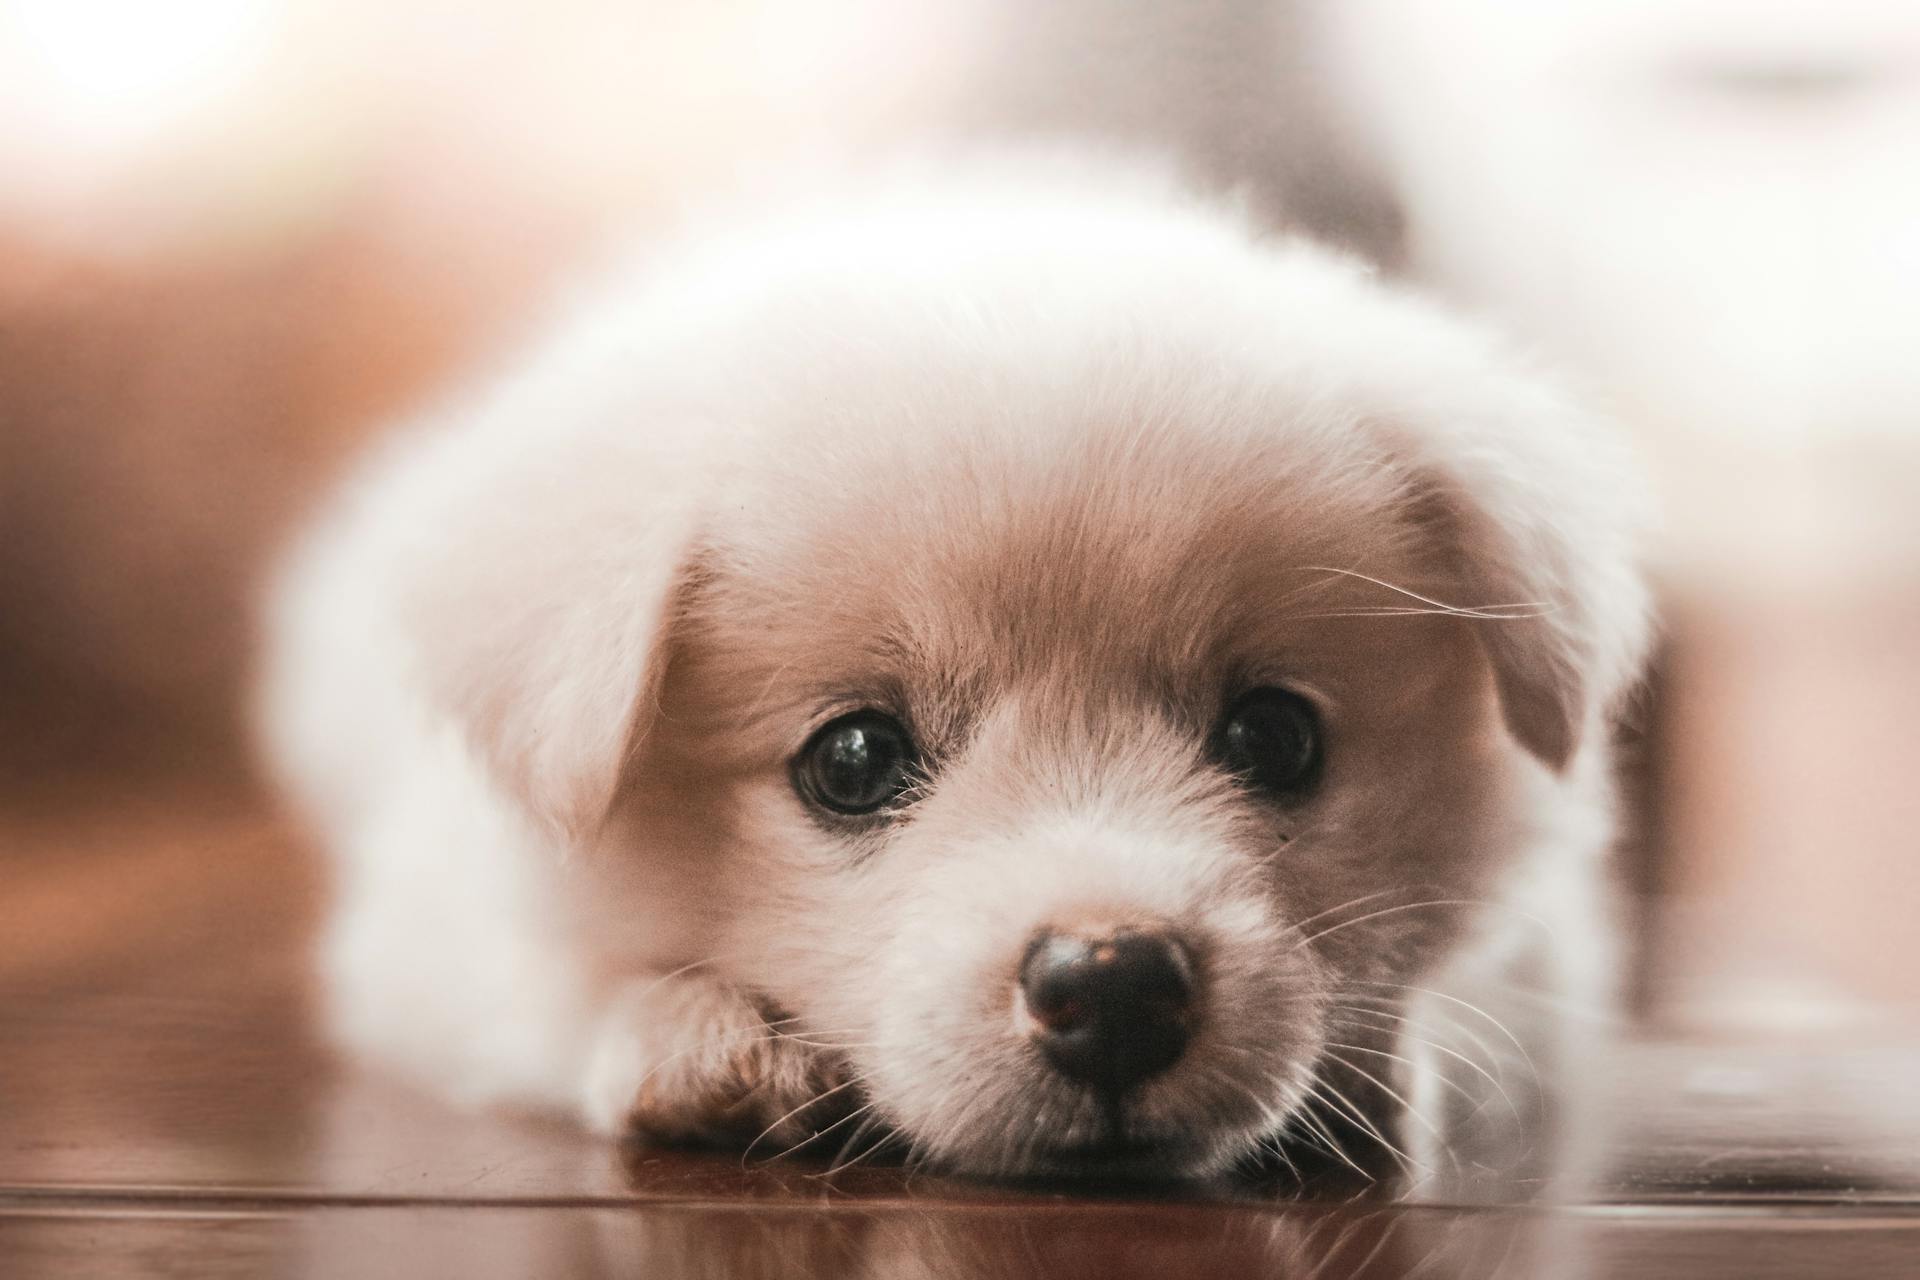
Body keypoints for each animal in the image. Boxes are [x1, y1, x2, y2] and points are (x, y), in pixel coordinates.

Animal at [263, 157, 1658, 1189]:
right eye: (853, 759)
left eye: (1275, 737)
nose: (1115, 984)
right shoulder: (424, 929)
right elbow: (547, 986)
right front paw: (697, 1038)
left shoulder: (1551, 945)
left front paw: (1374, 1061)